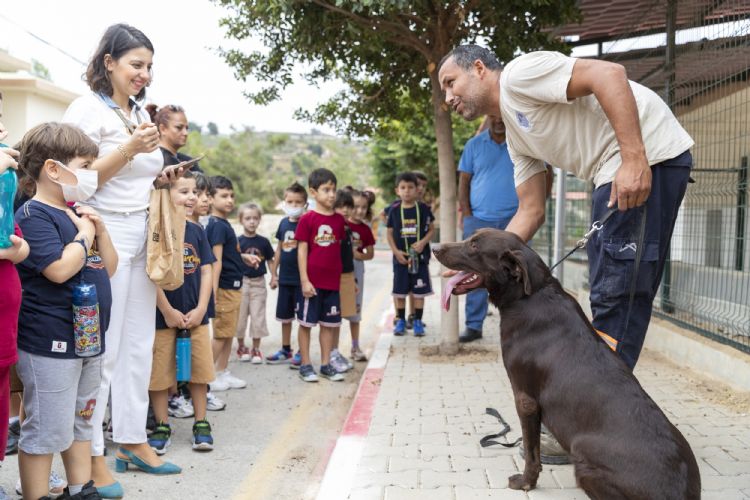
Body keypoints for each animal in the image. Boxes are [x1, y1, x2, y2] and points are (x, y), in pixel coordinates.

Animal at [432, 229, 704, 498]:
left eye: (474, 246)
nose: (434, 247)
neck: (529, 295)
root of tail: (679, 493)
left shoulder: (526, 400)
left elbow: (531, 451)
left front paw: (526, 482)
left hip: (583, 457)